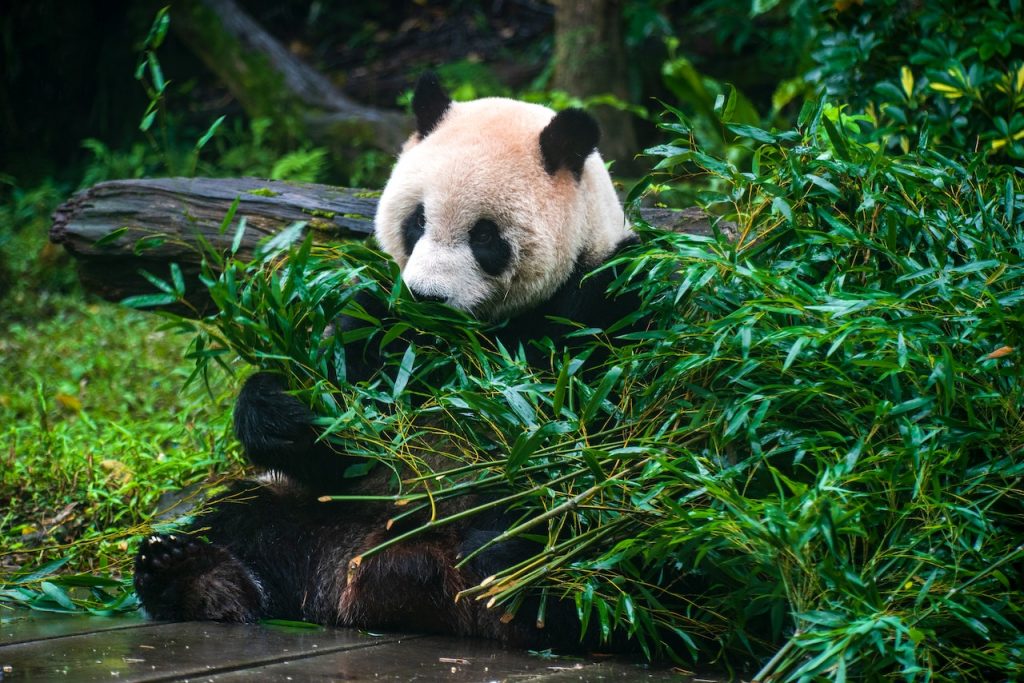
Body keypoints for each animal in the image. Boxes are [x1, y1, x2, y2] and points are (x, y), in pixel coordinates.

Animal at [133, 73, 639, 647]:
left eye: (485, 235)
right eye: (417, 220)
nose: (426, 298)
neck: (465, 339)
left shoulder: (607, 298)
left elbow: (606, 437)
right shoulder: (380, 323)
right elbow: (338, 438)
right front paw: (283, 411)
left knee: (605, 560)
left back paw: (515, 567)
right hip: (318, 513)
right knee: (238, 517)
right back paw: (191, 576)